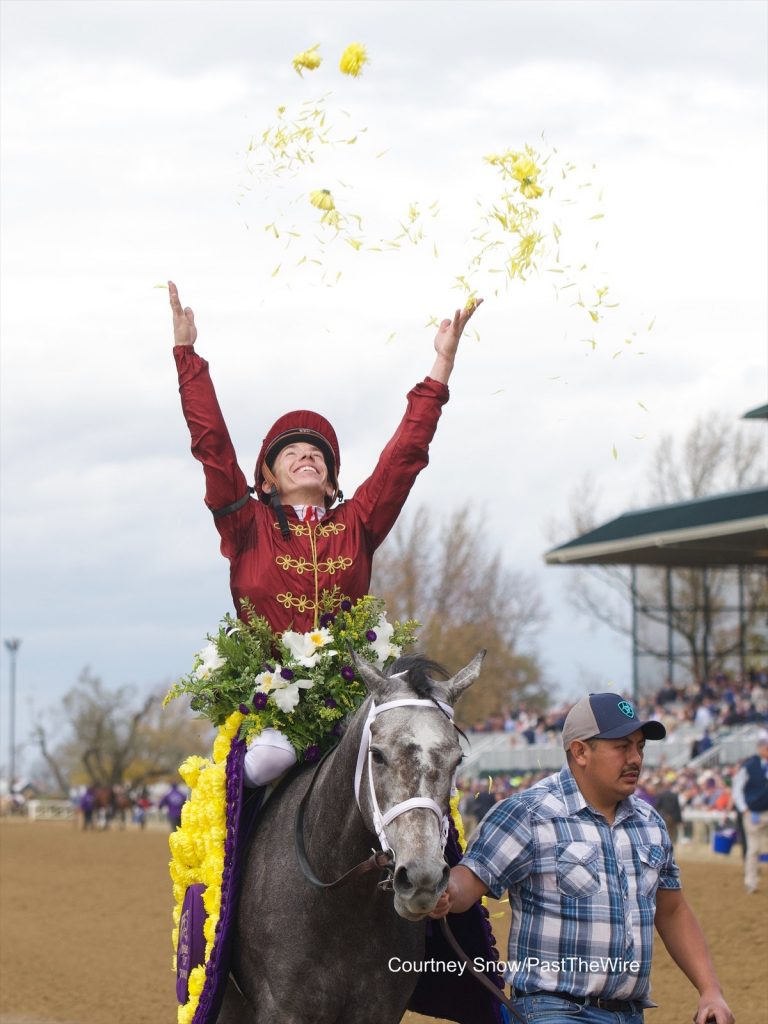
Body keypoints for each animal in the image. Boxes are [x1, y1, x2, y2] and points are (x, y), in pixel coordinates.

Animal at [217, 651, 483, 1019]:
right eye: (378, 754)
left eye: (457, 760)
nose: (423, 878)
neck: (338, 908)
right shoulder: (280, 1008)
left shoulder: (380, 1010)